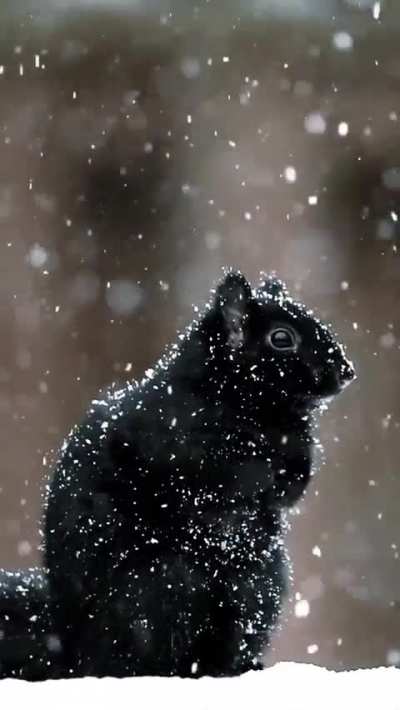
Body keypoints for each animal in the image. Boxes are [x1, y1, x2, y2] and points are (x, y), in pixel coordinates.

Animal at [1, 270, 355, 679]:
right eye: (281, 338)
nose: (347, 371)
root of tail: (74, 652)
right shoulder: (172, 440)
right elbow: (226, 475)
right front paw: (267, 467)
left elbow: (292, 485)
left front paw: (294, 466)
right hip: (162, 585)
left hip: (259, 585)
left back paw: (241, 665)